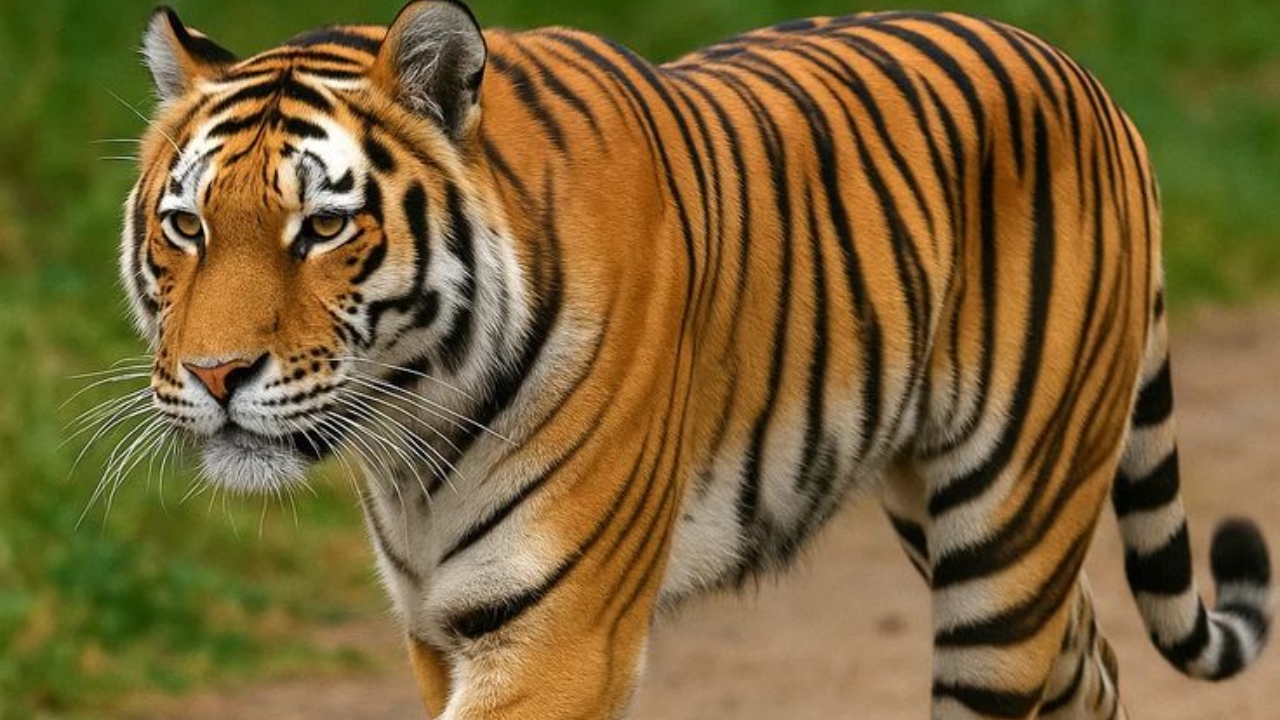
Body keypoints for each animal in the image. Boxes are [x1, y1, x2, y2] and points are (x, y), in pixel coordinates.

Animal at [118, 1, 1272, 718]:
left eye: (322, 228)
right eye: (186, 228)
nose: (216, 375)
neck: (416, 425)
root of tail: (1093, 85)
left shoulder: (558, 633)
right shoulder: (439, 629)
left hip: (1012, 528)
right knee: (1093, 665)